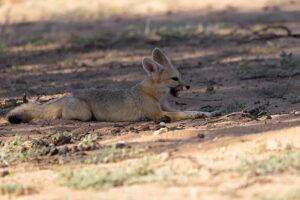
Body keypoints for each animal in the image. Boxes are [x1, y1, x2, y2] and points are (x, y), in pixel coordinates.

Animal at [6, 47, 218, 124]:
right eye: (175, 79)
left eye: (181, 77)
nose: (188, 86)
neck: (155, 96)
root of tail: (68, 95)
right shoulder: (158, 114)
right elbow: (183, 114)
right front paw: (199, 115)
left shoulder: (168, 109)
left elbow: (190, 110)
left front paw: (208, 113)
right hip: (84, 114)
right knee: (63, 116)